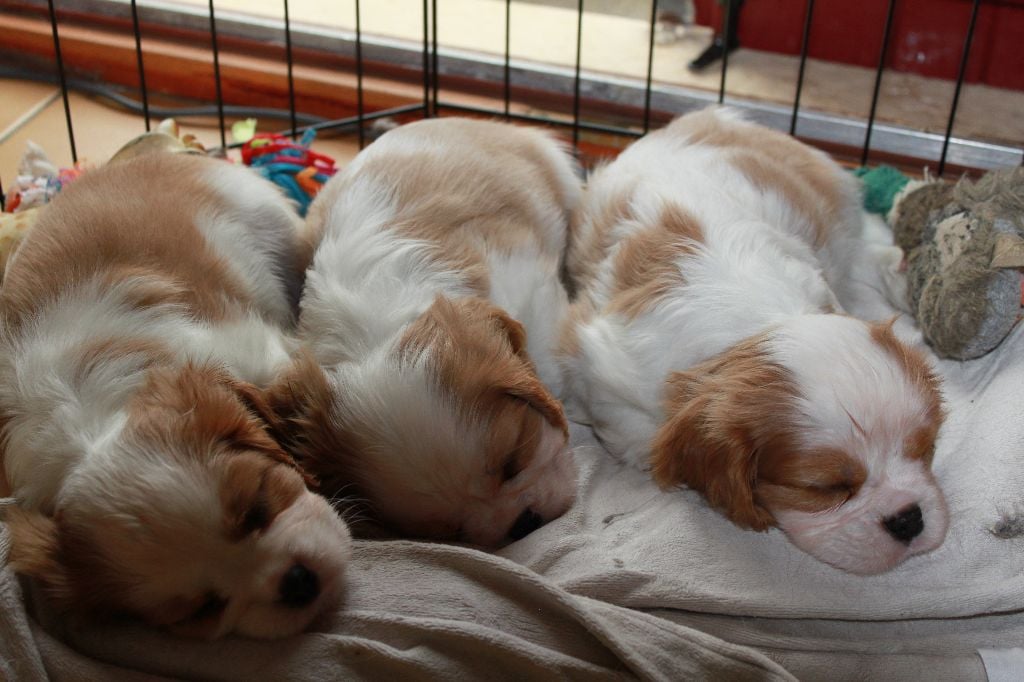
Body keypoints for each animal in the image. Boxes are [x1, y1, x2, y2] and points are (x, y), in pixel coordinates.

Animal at [0, 151, 352, 634]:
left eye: (258, 506)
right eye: (206, 607)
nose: (297, 582)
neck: (92, 420)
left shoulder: (254, 352)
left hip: (275, 227)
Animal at [565, 109, 946, 577]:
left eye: (925, 449)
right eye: (825, 488)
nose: (908, 519)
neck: (757, 324)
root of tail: (715, 115)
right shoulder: (601, 371)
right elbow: (639, 436)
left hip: (838, 212)